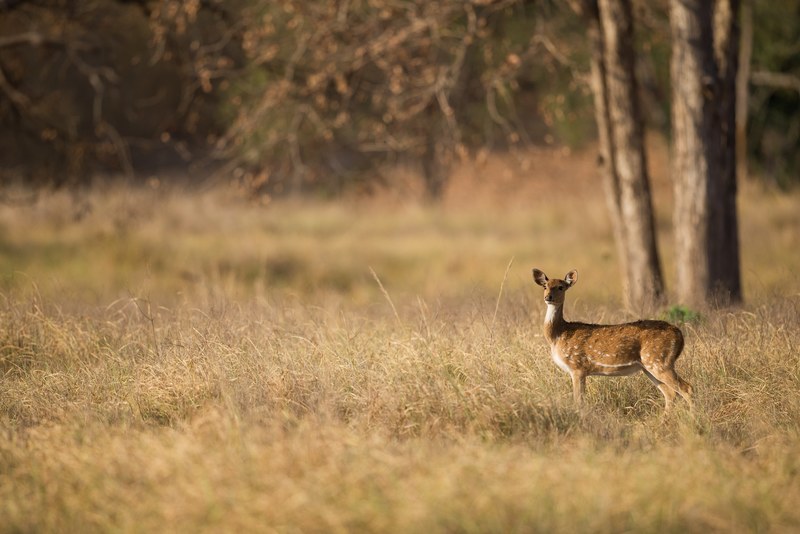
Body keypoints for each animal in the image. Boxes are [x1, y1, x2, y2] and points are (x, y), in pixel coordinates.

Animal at [532, 268, 693, 413]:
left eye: (561, 287)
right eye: (545, 286)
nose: (548, 297)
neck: (558, 335)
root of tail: (680, 335)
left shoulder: (577, 367)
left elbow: (579, 401)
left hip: (659, 360)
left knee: (686, 388)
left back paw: (693, 418)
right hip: (649, 366)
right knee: (670, 393)